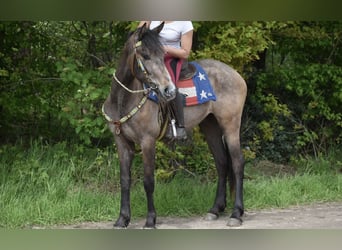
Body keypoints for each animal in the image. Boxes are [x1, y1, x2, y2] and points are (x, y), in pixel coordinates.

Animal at [101, 22, 246, 228]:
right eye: (145, 55)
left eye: (162, 55)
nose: (168, 90)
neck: (123, 99)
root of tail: (236, 75)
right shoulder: (122, 143)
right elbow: (125, 180)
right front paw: (122, 219)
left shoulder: (147, 142)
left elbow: (148, 181)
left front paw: (150, 220)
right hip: (210, 126)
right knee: (222, 162)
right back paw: (215, 210)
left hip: (231, 125)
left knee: (237, 163)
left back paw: (236, 214)